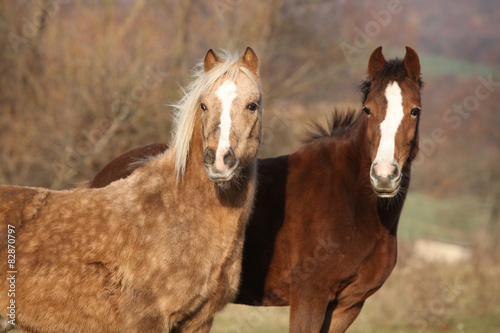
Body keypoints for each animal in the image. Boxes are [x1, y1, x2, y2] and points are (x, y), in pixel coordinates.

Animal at [0, 46, 264, 332]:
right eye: (203, 105)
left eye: (252, 105)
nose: (218, 159)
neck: (175, 210)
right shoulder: (146, 320)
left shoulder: (199, 321)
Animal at [87, 45, 422, 330]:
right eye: (367, 110)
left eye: (415, 110)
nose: (384, 175)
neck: (353, 202)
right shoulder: (310, 297)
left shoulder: (347, 306)